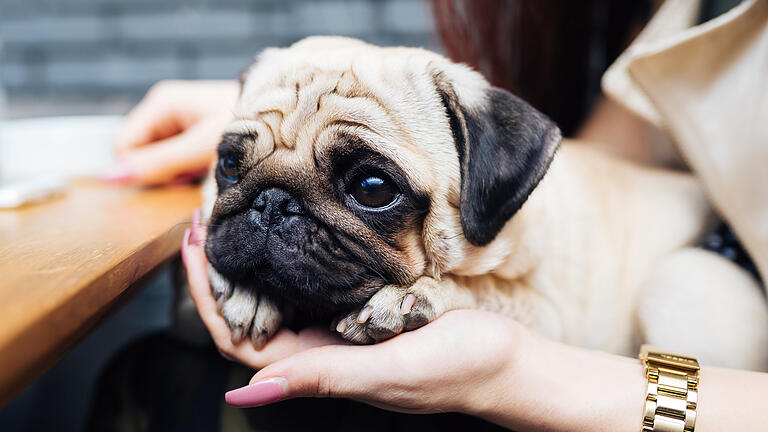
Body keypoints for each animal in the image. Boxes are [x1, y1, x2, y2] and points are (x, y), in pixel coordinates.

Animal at [204, 36, 768, 368]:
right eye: (229, 163)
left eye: (372, 189)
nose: (274, 203)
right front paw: (252, 293)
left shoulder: (545, 314)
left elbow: (480, 289)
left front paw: (418, 296)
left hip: (681, 281)